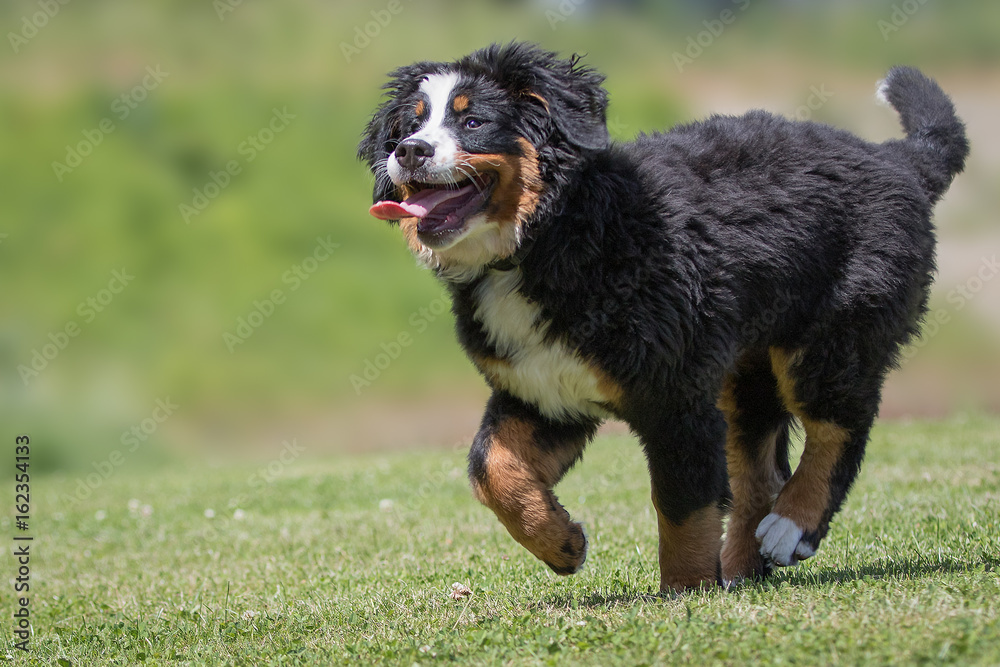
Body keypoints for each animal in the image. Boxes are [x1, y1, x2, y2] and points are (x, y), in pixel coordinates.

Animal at [358, 44, 968, 592]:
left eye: (473, 120)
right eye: (409, 124)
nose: (409, 151)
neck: (547, 238)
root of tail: (896, 159)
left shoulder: (676, 393)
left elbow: (683, 504)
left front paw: (686, 591)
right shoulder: (541, 389)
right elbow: (491, 469)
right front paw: (561, 543)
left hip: (832, 335)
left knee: (839, 428)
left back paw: (790, 528)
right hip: (745, 370)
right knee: (759, 472)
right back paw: (745, 570)